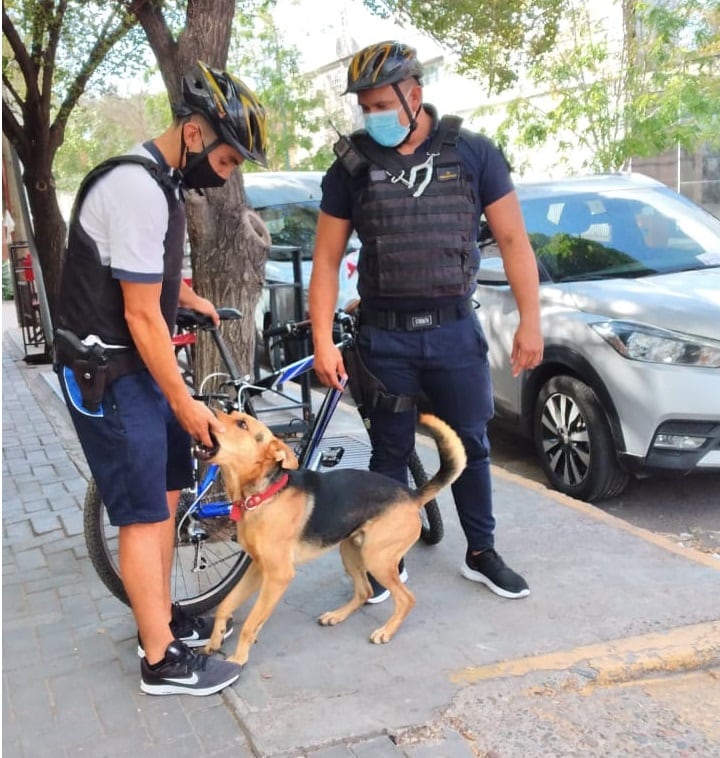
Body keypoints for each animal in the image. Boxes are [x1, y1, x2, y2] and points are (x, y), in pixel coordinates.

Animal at [197, 410, 466, 664]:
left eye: (242, 424)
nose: (208, 411)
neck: (263, 495)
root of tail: (412, 495)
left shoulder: (277, 576)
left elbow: (251, 622)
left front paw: (239, 658)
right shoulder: (257, 569)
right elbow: (225, 605)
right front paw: (214, 642)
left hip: (376, 559)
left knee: (406, 599)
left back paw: (386, 631)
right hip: (350, 552)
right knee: (364, 591)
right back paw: (336, 616)